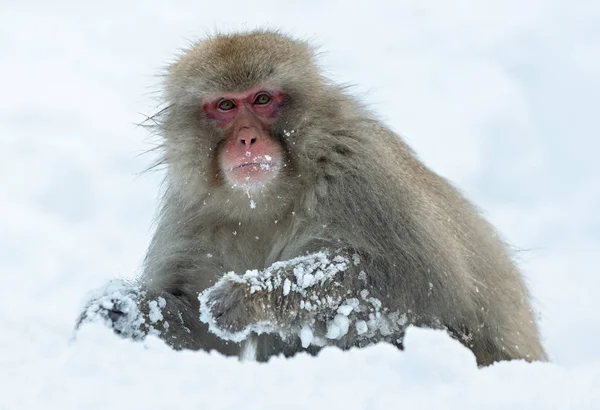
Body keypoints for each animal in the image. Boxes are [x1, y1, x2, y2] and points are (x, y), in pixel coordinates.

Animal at [78, 31, 548, 366]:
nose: (247, 139)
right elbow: (197, 328)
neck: (265, 198)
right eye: (226, 106)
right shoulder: (190, 208)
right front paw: (119, 312)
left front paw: (252, 295)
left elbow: (417, 284)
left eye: (263, 99)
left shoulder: (361, 171)